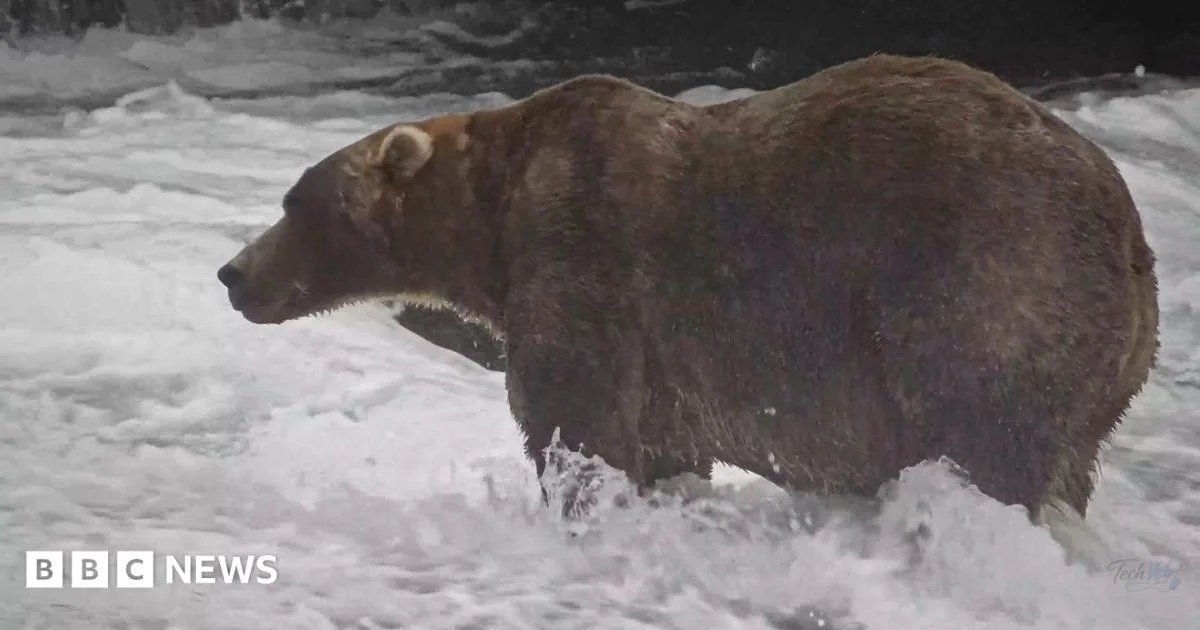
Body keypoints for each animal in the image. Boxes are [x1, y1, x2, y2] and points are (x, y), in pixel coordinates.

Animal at [217, 54, 1158, 521]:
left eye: (295, 203)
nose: (233, 273)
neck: (491, 218)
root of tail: (1131, 232)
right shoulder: (665, 359)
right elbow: (664, 442)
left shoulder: (584, 253)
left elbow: (574, 416)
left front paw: (580, 502)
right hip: (1105, 369)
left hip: (985, 281)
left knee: (983, 431)